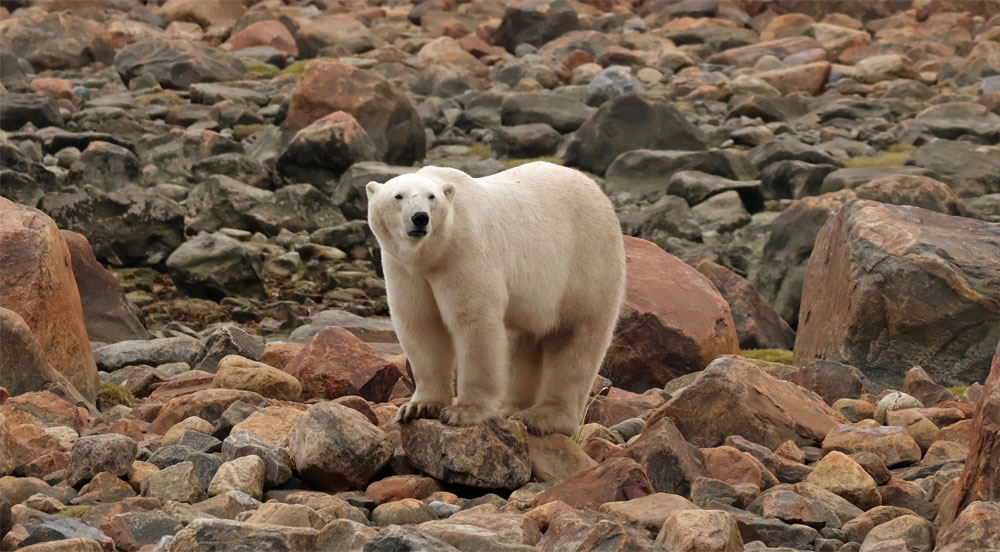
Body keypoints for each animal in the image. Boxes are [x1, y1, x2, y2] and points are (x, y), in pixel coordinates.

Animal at [366, 162, 626, 435]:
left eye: (432, 197)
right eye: (398, 196)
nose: (420, 218)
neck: (434, 253)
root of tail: (598, 193)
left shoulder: (465, 252)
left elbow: (474, 323)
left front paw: (463, 412)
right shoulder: (405, 270)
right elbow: (421, 325)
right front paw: (419, 407)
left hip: (585, 263)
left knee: (575, 337)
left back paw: (542, 417)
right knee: (523, 341)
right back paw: (509, 408)